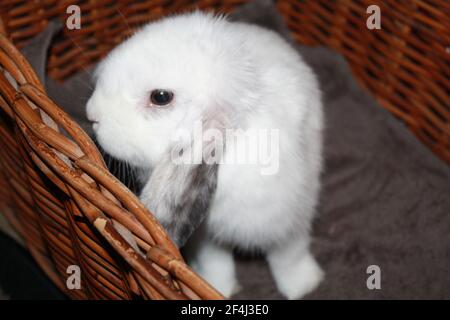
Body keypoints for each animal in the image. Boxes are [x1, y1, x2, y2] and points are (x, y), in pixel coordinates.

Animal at [86, 10, 324, 300]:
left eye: (161, 97)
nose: (92, 114)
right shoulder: (205, 236)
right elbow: (216, 263)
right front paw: (219, 288)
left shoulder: (290, 221)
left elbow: (289, 256)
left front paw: (304, 286)